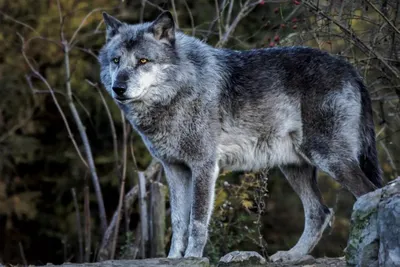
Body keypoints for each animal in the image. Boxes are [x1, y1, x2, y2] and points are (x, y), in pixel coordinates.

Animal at [98, 11, 382, 262]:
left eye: (143, 61)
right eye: (116, 61)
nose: (118, 88)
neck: (180, 88)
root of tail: (352, 70)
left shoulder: (204, 166)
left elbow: (197, 221)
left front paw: (192, 257)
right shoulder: (175, 169)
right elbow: (178, 221)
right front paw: (172, 258)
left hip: (328, 158)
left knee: (368, 194)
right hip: (294, 166)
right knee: (319, 213)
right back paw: (292, 256)